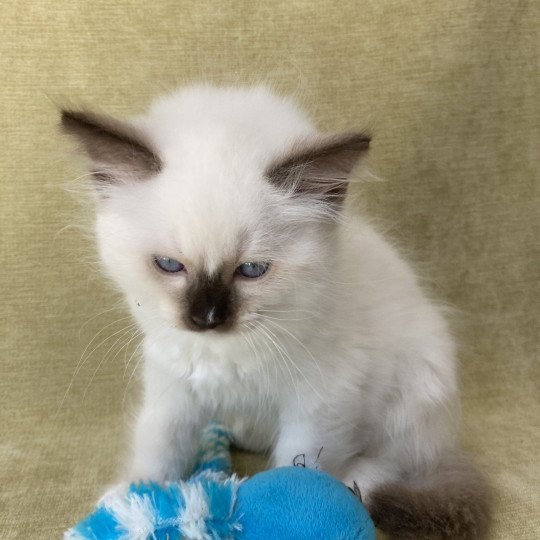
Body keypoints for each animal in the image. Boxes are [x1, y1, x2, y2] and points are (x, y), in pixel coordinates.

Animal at [61, 86, 492, 536]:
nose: (207, 318)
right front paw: (132, 500)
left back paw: (357, 486)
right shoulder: (174, 386)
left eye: (251, 270)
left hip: (415, 388)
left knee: (394, 462)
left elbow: (298, 464)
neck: (226, 356)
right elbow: (159, 446)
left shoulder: (320, 404)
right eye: (169, 265)